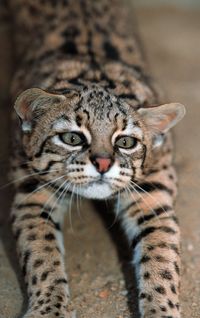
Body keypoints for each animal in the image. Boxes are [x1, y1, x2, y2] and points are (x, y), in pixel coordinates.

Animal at [7, 0, 186, 318]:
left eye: (126, 142)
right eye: (73, 138)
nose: (103, 164)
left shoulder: (153, 194)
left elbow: (163, 259)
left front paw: (162, 310)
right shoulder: (31, 190)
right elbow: (41, 253)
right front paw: (49, 307)